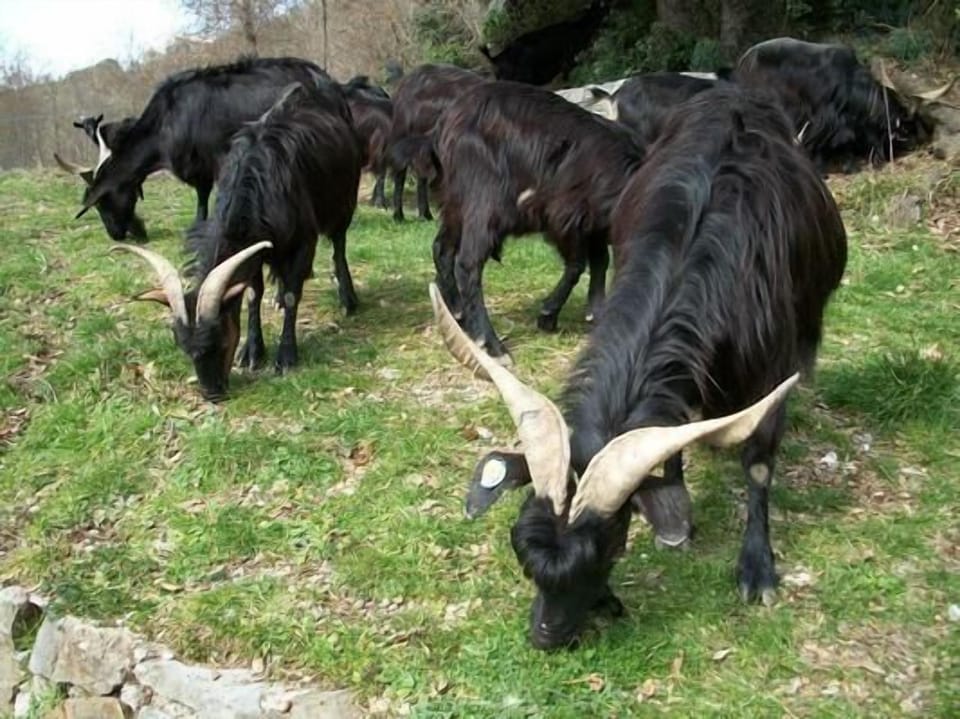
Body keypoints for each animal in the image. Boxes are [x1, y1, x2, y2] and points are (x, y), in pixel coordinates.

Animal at [56, 56, 332, 241]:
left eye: (102, 203)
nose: (116, 235)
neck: (164, 126)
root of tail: (322, 77)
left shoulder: (206, 162)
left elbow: (203, 196)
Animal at [111, 80, 362, 401]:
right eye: (182, 345)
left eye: (219, 336)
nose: (212, 393)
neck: (258, 181)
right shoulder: (253, 249)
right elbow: (253, 293)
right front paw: (252, 351)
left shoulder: (303, 242)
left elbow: (294, 294)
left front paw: (286, 355)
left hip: (344, 202)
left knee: (339, 246)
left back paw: (348, 299)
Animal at [432, 80, 645, 361]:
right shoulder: (566, 218)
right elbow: (578, 265)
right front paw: (549, 314)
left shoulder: (593, 224)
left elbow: (599, 261)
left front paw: (595, 313)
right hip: (483, 202)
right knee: (467, 263)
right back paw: (491, 344)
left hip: (455, 205)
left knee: (441, 249)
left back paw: (458, 314)